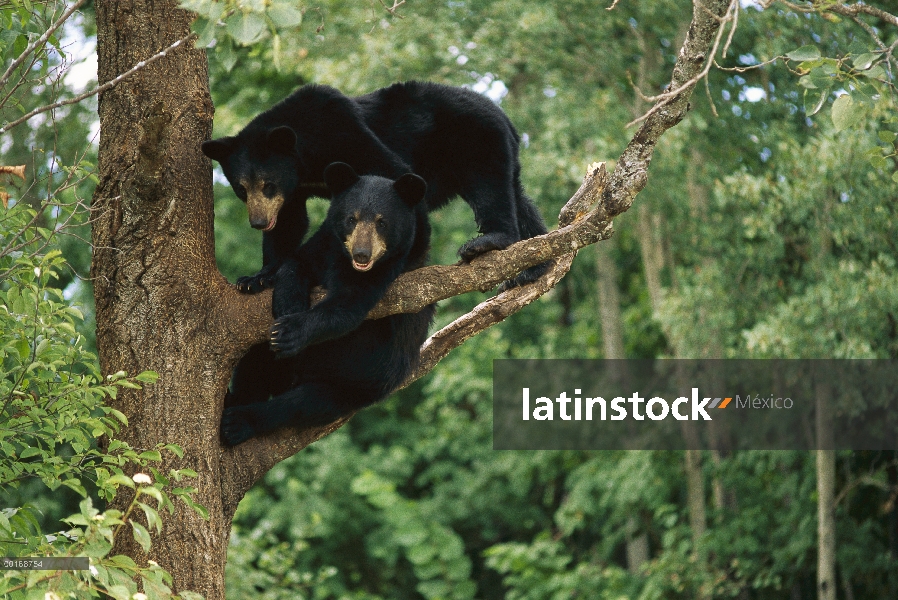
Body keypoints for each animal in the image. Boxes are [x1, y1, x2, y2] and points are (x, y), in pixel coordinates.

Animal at [202, 80, 544, 292]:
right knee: (520, 199)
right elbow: (289, 221)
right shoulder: (294, 188)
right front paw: (257, 277)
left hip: (476, 140)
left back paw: (488, 241)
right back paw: (533, 268)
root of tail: (504, 115)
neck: (306, 157)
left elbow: (395, 176)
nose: (258, 222)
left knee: (490, 189)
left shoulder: (347, 134)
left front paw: (406, 260)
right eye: (241, 188)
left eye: (268, 184)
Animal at [222, 164, 436, 446]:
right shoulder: (326, 242)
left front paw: (290, 331)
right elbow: (296, 263)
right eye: (351, 219)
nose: (362, 254)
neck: (345, 260)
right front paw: (286, 304)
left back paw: (238, 422)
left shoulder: (388, 270)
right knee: (255, 361)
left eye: (382, 222)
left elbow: (346, 306)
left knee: (301, 404)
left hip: (351, 384)